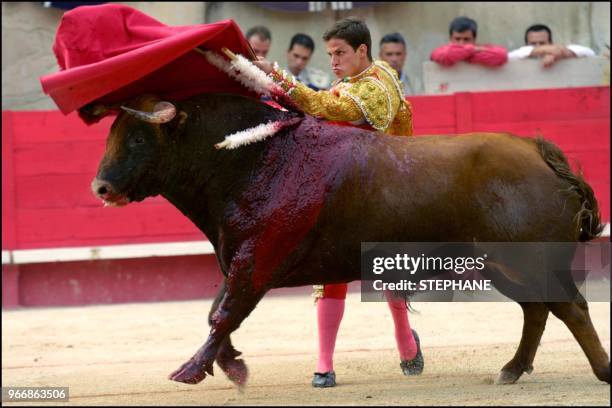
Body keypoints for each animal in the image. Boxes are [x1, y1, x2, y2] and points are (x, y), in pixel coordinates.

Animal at [88, 93, 608, 388]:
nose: (101, 188)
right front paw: (227, 362)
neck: (250, 158)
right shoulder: (238, 258)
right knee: (538, 311)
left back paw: (600, 372)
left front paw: (191, 370)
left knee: (570, 308)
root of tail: (539, 153)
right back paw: (512, 369)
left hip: (527, 261)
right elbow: (219, 312)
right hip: (505, 268)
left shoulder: (255, 260)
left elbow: (223, 313)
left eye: (138, 140)